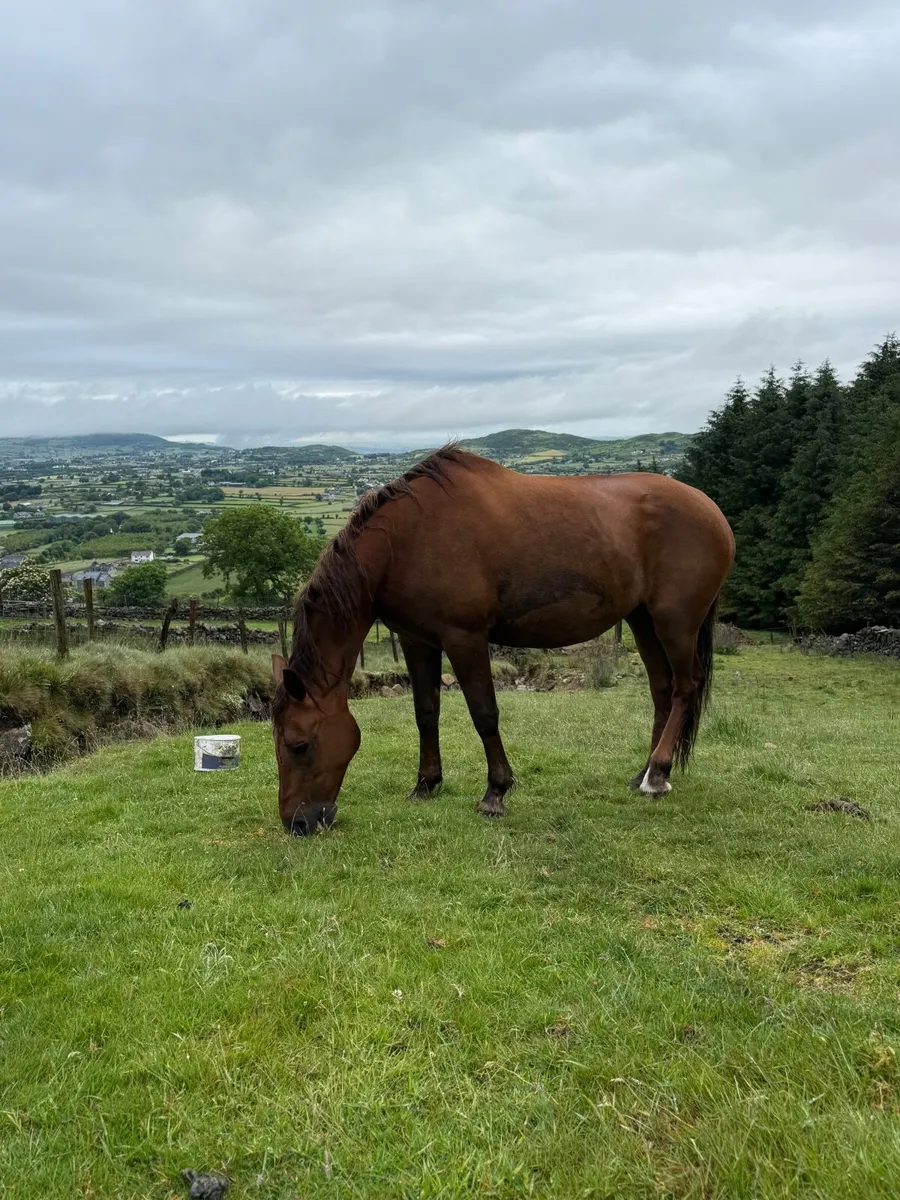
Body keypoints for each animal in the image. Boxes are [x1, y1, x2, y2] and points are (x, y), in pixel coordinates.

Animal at [272, 447, 734, 834]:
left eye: (299, 745)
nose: (298, 823)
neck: (406, 540)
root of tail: (712, 510)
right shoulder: (416, 640)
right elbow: (426, 713)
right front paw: (426, 784)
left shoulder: (465, 639)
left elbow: (484, 714)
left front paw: (495, 792)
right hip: (642, 621)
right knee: (662, 690)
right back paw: (646, 773)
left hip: (675, 623)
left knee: (685, 687)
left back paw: (658, 774)